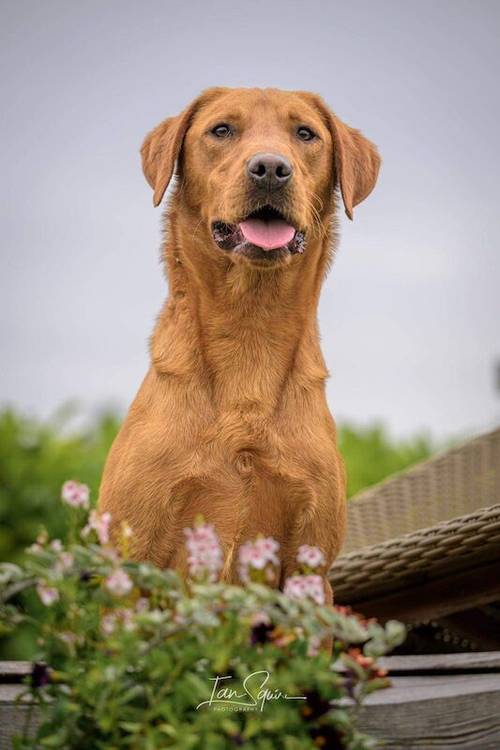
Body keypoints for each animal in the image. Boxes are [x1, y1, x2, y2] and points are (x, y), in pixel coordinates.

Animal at [98, 86, 378, 604]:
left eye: (305, 133)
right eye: (221, 130)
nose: (270, 168)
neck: (251, 331)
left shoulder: (309, 563)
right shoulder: (134, 557)